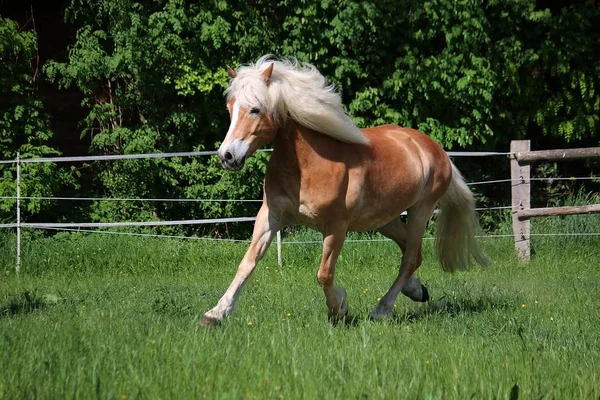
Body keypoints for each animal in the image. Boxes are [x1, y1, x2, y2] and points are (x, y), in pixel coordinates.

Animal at [202, 55, 488, 324]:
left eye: (255, 109)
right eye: (230, 108)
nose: (227, 156)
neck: (309, 164)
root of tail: (434, 149)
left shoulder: (336, 227)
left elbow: (324, 274)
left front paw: (339, 309)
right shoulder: (270, 216)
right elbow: (247, 263)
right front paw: (216, 313)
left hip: (420, 211)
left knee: (409, 259)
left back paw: (381, 310)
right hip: (384, 219)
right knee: (411, 250)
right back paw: (416, 291)